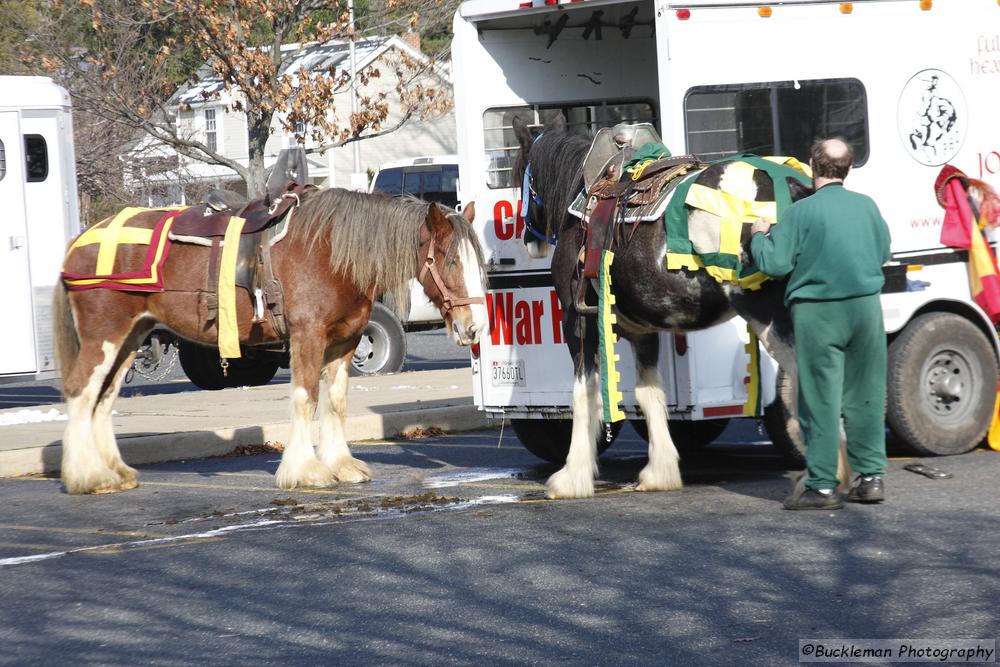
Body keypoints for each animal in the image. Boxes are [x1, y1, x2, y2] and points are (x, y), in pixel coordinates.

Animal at [54, 190, 488, 494]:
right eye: (450, 260)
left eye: (479, 263)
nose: (474, 328)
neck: (329, 252)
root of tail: (80, 242)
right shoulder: (308, 336)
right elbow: (306, 398)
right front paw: (306, 470)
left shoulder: (344, 342)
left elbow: (335, 402)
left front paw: (342, 465)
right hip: (103, 336)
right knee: (82, 393)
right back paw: (89, 476)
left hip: (130, 338)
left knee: (103, 399)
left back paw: (115, 473)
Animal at [512, 116, 824, 500]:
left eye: (519, 174)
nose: (528, 240)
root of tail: (791, 188)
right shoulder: (644, 330)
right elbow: (649, 395)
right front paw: (660, 472)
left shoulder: (577, 322)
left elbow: (584, 395)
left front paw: (571, 478)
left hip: (767, 311)